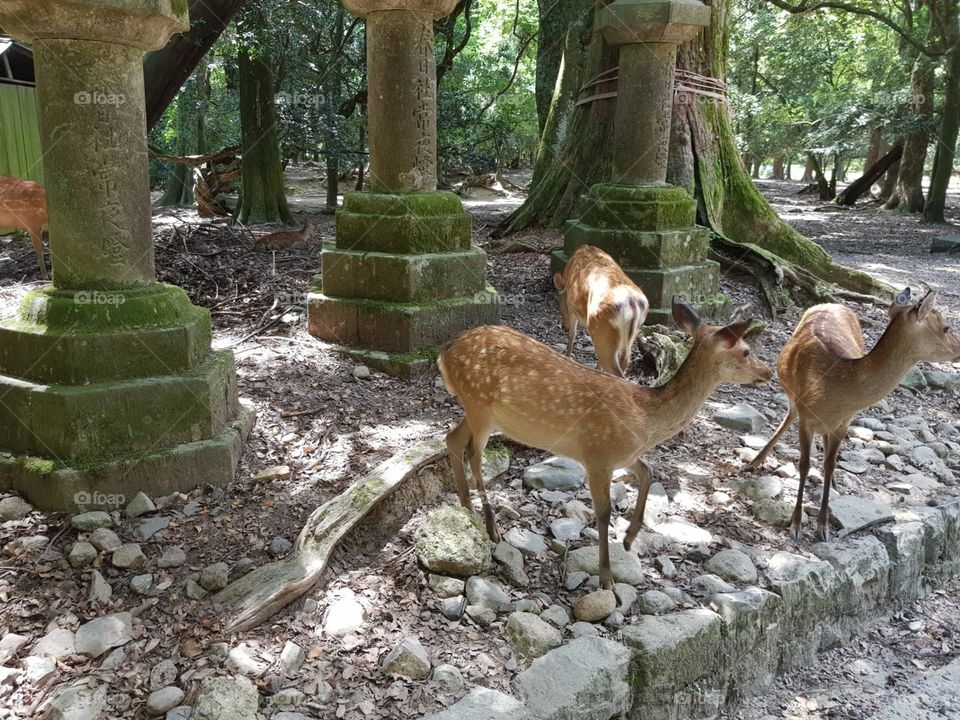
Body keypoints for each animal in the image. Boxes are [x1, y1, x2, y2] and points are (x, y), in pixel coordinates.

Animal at [436, 296, 772, 588]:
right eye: (745, 351)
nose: (767, 372)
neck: (646, 419)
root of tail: (444, 354)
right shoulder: (598, 453)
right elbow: (604, 512)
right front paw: (606, 577)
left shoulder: (623, 455)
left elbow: (648, 472)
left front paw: (630, 538)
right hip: (480, 404)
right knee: (473, 454)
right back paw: (491, 526)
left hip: (478, 409)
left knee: (451, 440)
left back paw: (467, 509)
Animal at [552, 245, 648, 376]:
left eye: (559, 301)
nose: (563, 327)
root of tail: (631, 304)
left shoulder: (572, 308)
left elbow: (573, 334)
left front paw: (567, 357)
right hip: (632, 333)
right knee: (624, 362)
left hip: (600, 329)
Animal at [752, 290, 960, 544]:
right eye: (946, 327)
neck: (832, 389)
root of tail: (832, 303)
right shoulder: (806, 416)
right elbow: (804, 464)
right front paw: (796, 526)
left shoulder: (845, 422)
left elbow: (830, 463)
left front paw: (823, 528)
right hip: (793, 397)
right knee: (789, 416)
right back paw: (755, 461)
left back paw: (830, 481)